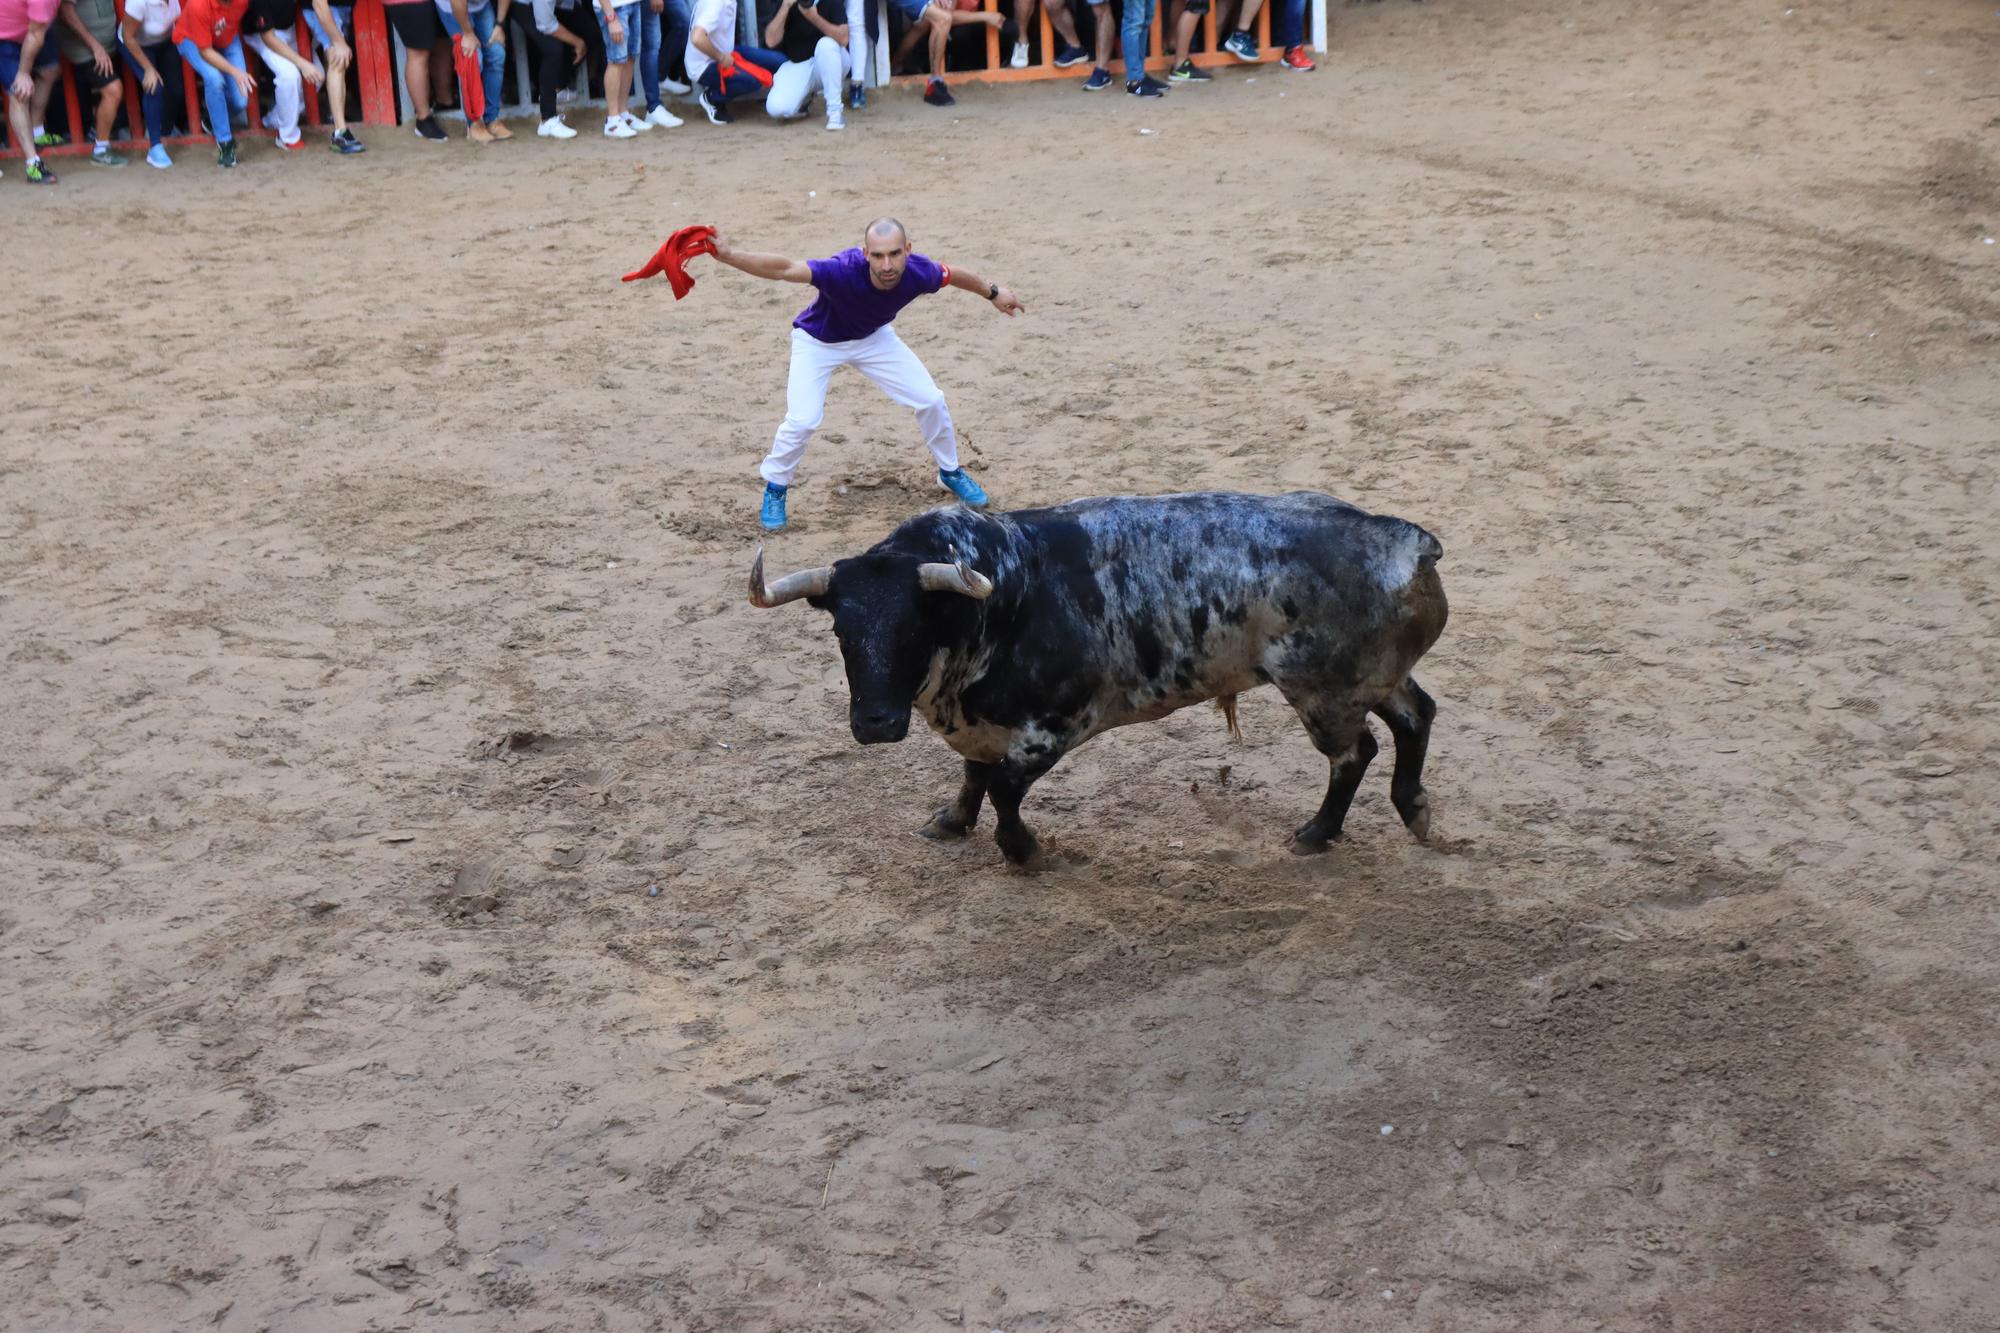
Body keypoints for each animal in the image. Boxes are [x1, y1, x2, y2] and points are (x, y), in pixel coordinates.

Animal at [752, 488, 1456, 860]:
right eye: (842, 632)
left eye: (913, 629)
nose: (873, 723)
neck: (1000, 598)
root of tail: (1406, 541)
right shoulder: (981, 725)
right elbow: (974, 773)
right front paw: (952, 821)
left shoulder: (1054, 728)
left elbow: (1003, 786)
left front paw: (1022, 851)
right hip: (1371, 679)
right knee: (1415, 716)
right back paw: (1412, 807)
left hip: (1324, 695)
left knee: (1355, 752)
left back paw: (1316, 833)